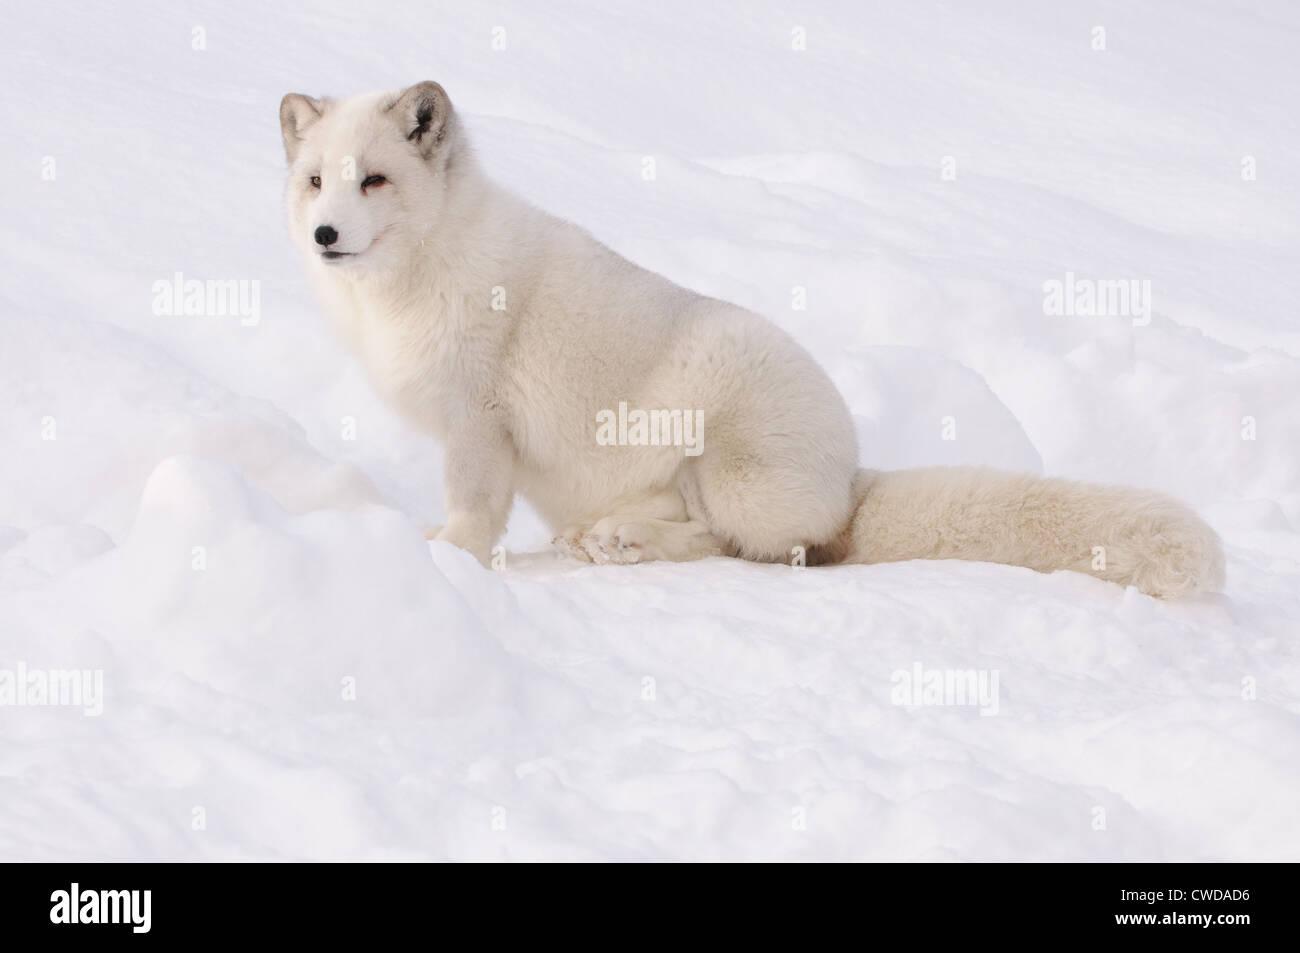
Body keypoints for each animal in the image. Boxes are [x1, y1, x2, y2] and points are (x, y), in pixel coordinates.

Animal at [279, 85, 1222, 598]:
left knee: (749, 548)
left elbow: (473, 512)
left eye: (375, 180)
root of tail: (850, 477)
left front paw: (446, 555)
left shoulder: (480, 422)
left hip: (725, 460)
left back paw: (625, 544)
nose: (325, 235)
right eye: (316, 181)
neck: (414, 278)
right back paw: (603, 536)